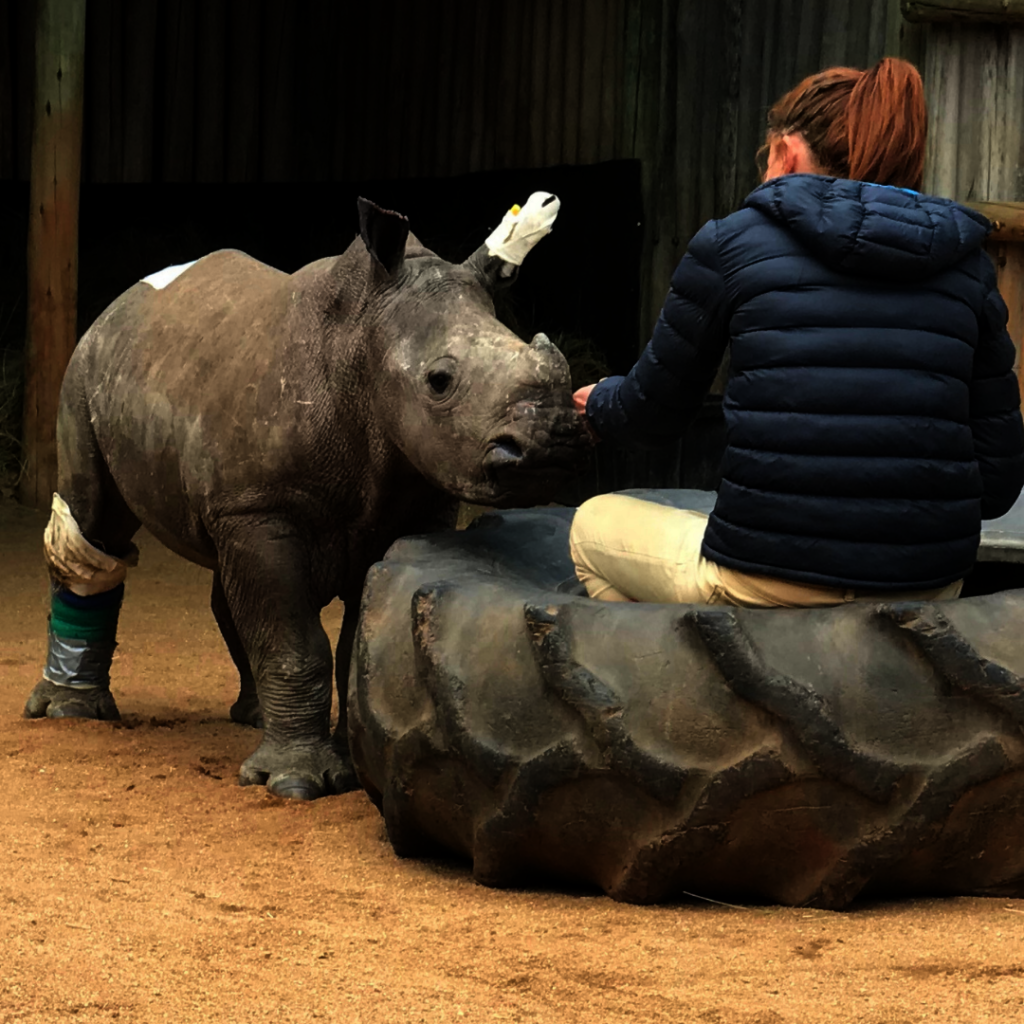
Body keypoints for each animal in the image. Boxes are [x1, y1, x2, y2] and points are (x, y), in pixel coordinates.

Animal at [25, 194, 590, 800]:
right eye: (439, 381)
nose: (551, 441)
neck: (362, 339)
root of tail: (121, 303)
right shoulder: (260, 507)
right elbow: (294, 641)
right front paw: (295, 784)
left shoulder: (403, 507)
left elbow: (351, 640)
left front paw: (352, 762)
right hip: (87, 368)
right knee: (93, 526)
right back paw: (70, 711)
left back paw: (249, 717)